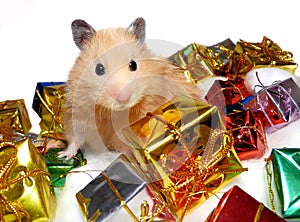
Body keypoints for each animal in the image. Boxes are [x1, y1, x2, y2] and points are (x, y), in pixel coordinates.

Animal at [58, 17, 204, 160]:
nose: (123, 99)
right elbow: (75, 138)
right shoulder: (77, 112)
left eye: (133, 65)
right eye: (99, 68)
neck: (111, 112)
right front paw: (64, 155)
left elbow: (127, 150)